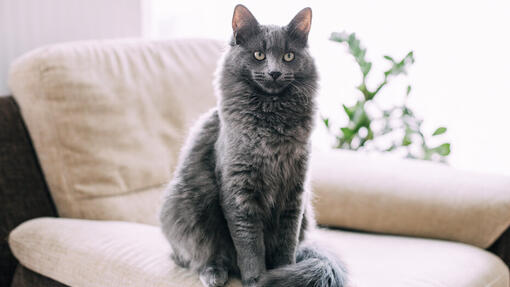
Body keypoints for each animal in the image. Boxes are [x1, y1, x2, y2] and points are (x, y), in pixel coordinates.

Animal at [161, 4, 348, 287]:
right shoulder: (239, 190)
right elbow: (249, 244)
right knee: (201, 255)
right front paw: (256, 279)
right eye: (259, 55)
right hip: (185, 209)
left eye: (289, 56)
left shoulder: (294, 193)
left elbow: (286, 243)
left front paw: (284, 272)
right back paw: (214, 274)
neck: (271, 125)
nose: (274, 72)